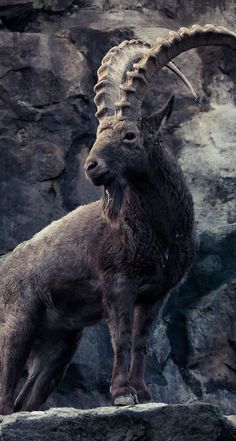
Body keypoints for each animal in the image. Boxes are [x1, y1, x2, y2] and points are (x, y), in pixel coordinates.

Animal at [0, 25, 236, 414]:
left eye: (130, 135)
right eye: (98, 135)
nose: (91, 167)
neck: (160, 231)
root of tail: (5, 267)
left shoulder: (157, 294)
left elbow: (141, 341)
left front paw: (143, 392)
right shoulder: (117, 285)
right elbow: (121, 338)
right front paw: (122, 393)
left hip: (59, 343)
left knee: (26, 400)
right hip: (17, 324)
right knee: (6, 397)